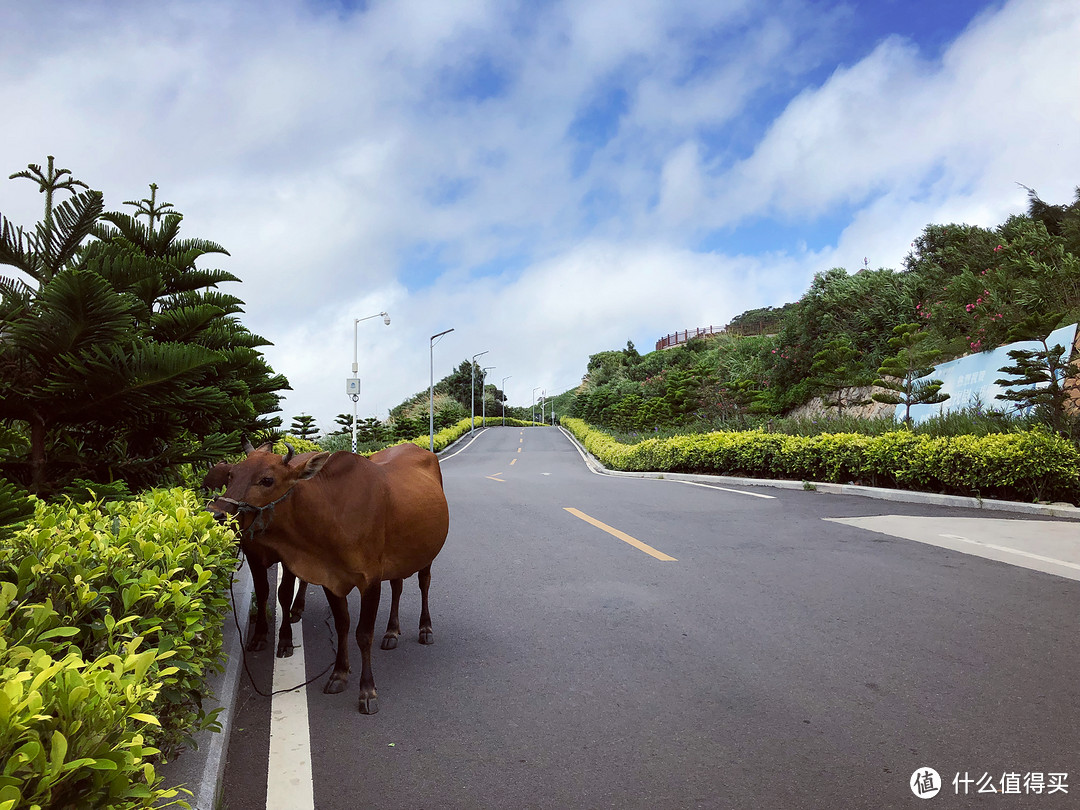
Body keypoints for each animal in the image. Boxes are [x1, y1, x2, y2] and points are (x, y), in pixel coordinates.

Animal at [204, 440, 449, 712]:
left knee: (424, 583)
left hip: (426, 554)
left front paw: (367, 691)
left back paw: (425, 629)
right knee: (397, 586)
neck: (332, 513)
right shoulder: (331, 579)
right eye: (232, 474)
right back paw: (391, 632)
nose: (216, 514)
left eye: (267, 480)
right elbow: (342, 625)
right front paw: (339, 674)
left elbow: (363, 634)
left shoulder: (370, 581)